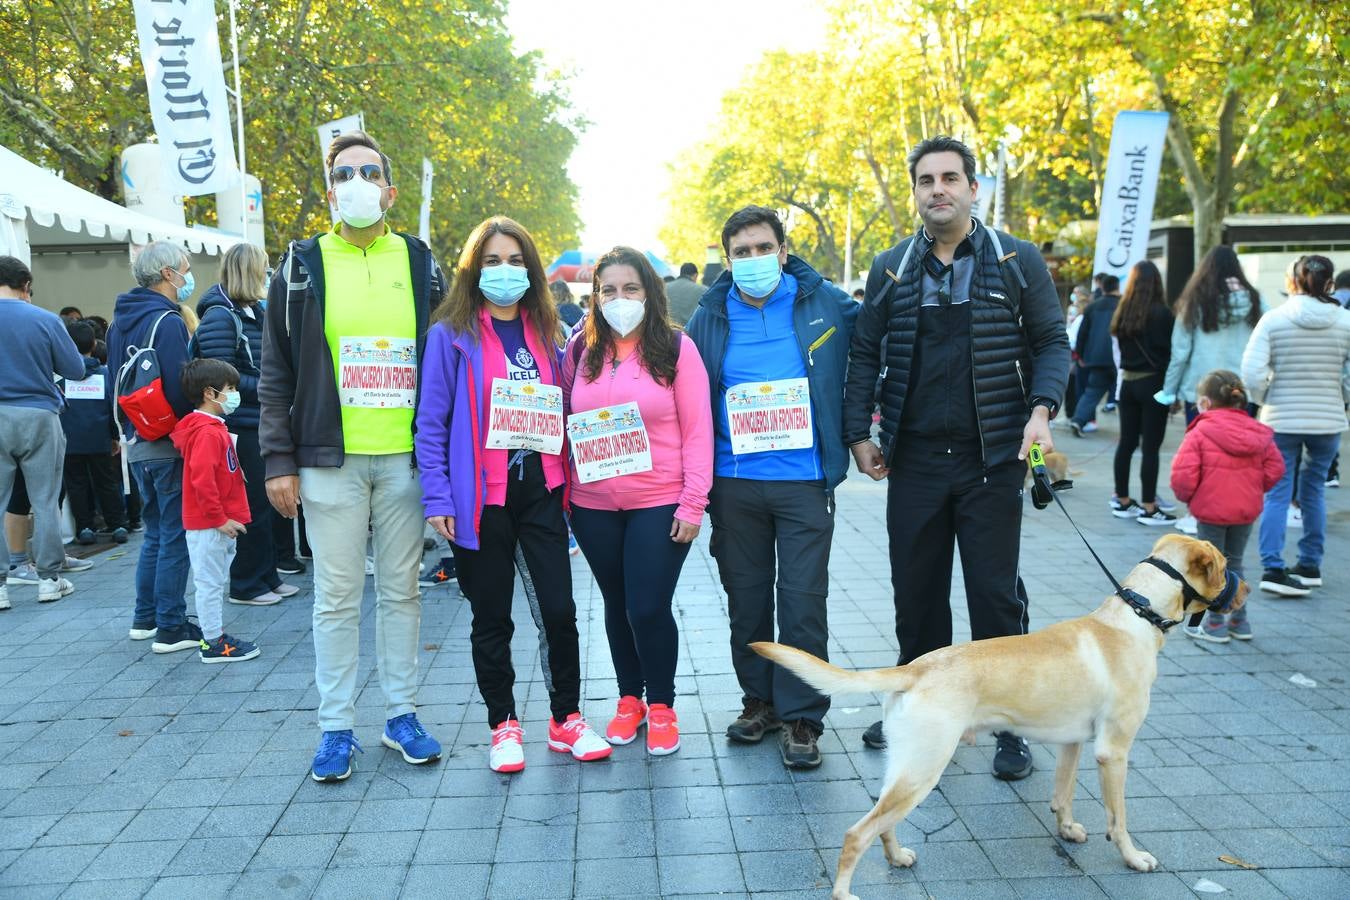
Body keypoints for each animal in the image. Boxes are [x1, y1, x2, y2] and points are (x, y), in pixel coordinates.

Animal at [750, 534, 1242, 900]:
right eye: (1222, 563)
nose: (1244, 589)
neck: (1135, 616)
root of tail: (916, 666)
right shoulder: (1113, 752)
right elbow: (1118, 820)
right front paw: (1133, 858)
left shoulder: (1072, 743)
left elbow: (1063, 795)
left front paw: (1067, 829)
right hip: (925, 768)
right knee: (857, 833)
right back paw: (845, 890)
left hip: (907, 767)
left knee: (881, 821)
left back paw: (897, 856)